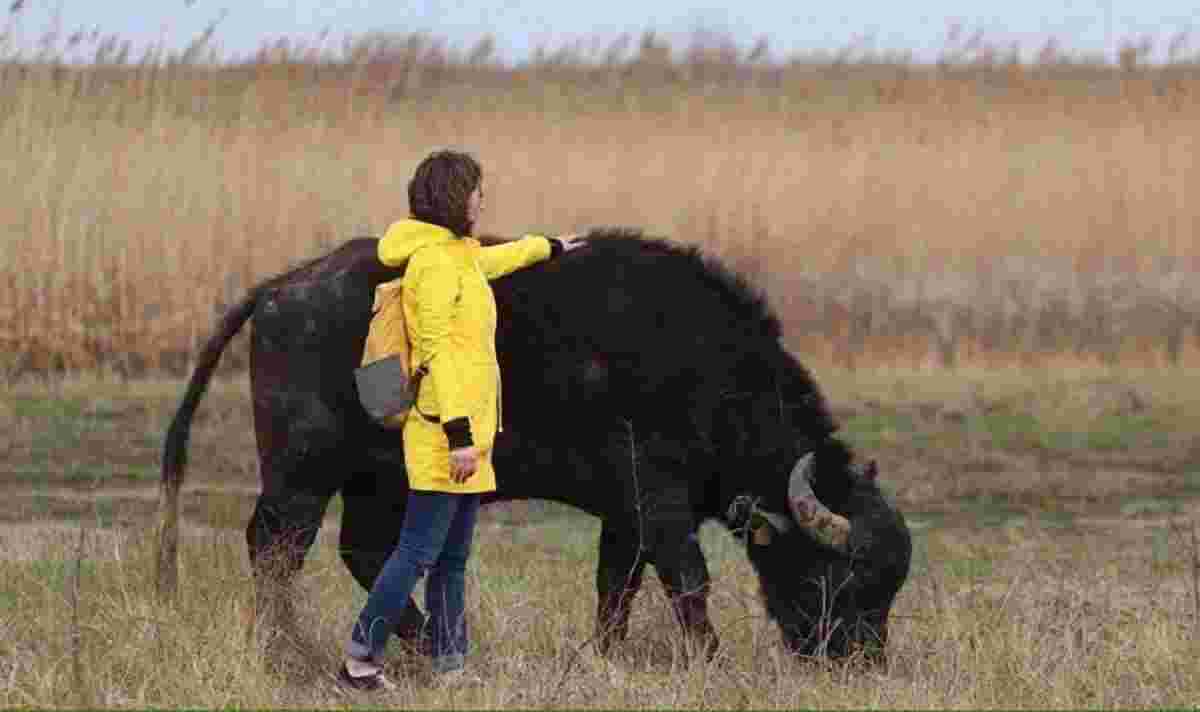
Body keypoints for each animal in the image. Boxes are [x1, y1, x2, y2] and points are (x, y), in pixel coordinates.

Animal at [157, 229, 911, 661]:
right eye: (833, 579)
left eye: (887, 589)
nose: (859, 661)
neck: (708, 368)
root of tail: (280, 289)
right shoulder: (658, 501)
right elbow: (687, 578)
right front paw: (710, 657)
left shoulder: (624, 515)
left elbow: (616, 584)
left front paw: (607, 655)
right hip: (303, 471)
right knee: (275, 547)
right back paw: (283, 649)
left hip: (382, 481)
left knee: (363, 551)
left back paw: (422, 645)